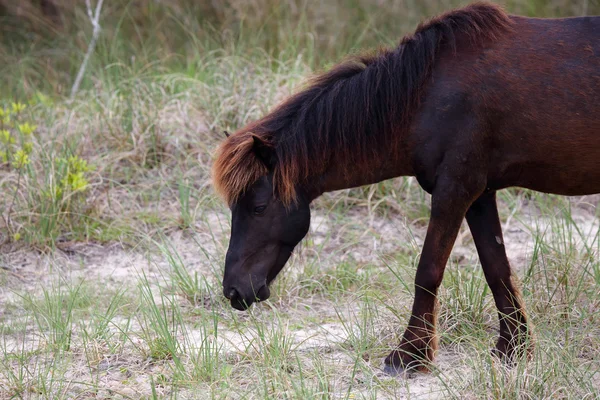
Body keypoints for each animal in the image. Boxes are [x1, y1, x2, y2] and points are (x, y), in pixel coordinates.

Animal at [211, 1, 600, 374]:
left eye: (259, 207)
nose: (233, 289)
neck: (426, 96)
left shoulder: (455, 190)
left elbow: (427, 272)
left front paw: (409, 355)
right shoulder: (480, 197)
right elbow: (497, 270)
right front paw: (513, 348)